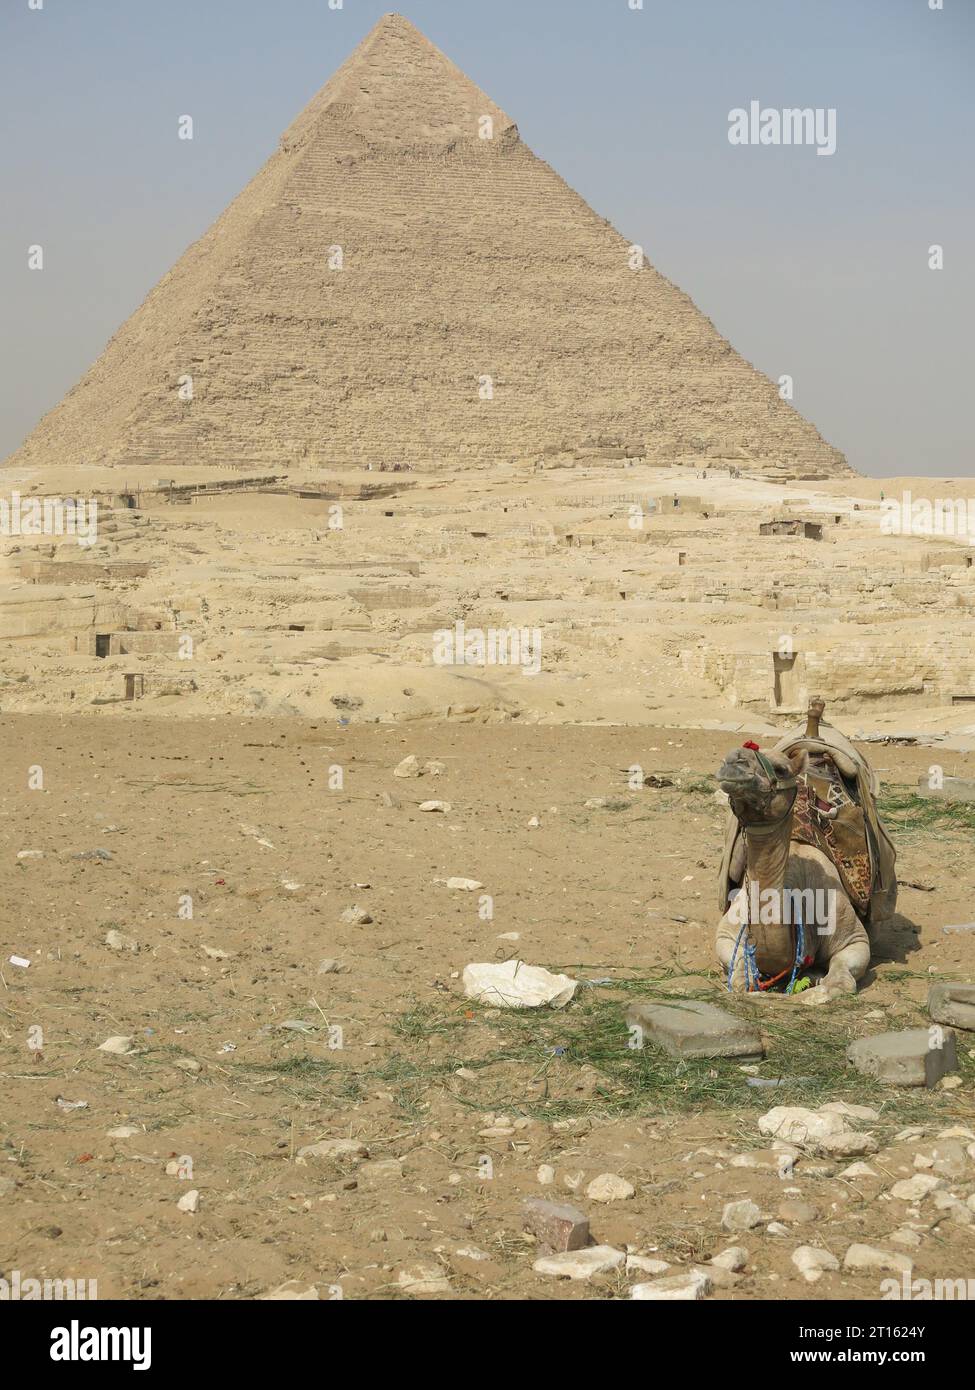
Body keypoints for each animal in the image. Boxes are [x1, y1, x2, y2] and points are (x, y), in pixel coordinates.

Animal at [715, 699, 897, 1005]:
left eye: (781, 769)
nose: (733, 760)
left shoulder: (853, 938)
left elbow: (840, 982)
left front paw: (812, 990)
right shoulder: (728, 932)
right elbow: (740, 976)